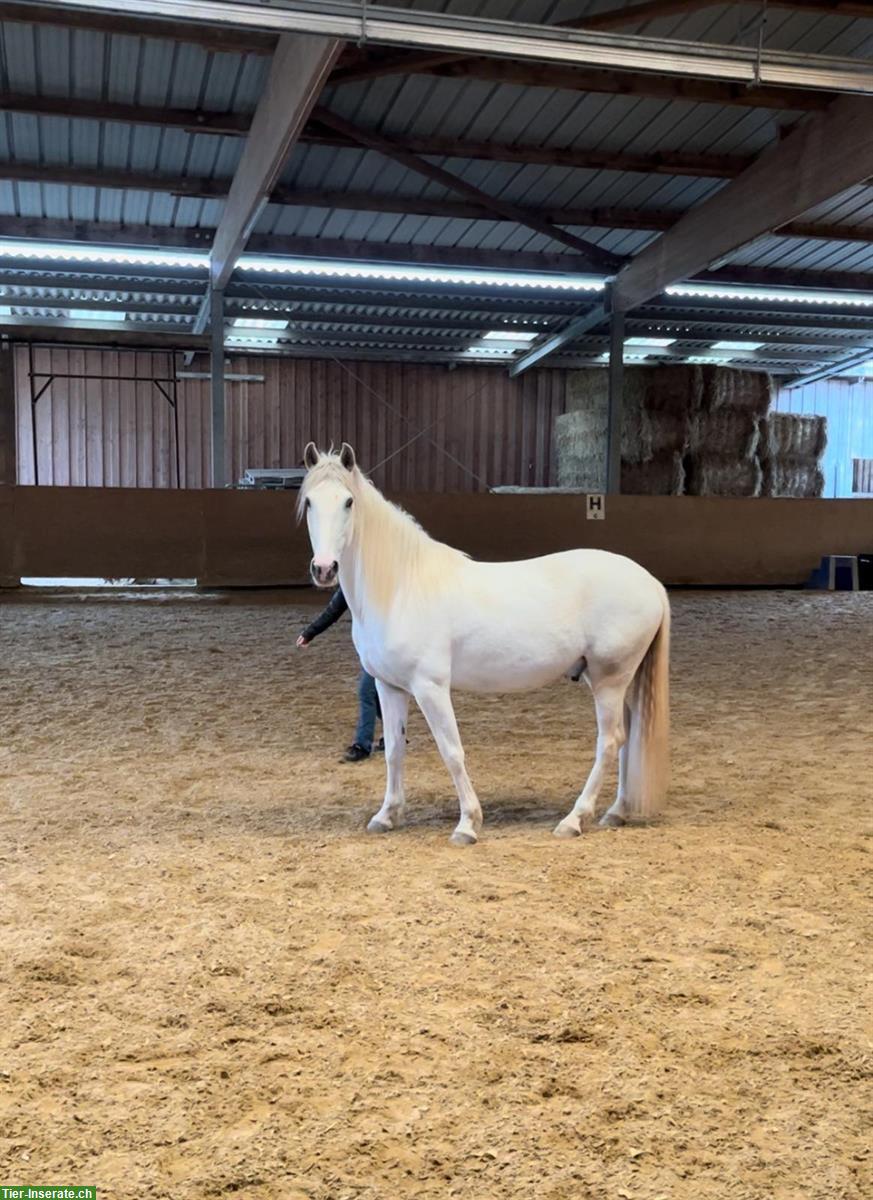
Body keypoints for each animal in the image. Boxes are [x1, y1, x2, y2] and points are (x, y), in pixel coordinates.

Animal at [298, 446, 666, 849]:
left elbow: (451, 752)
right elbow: (394, 750)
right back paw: (616, 812)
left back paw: (574, 819)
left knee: (610, 742)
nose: (325, 569)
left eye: (348, 501)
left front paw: (468, 824)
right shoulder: (389, 687)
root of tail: (651, 582)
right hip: (623, 682)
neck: (401, 586)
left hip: (608, 681)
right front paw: (386, 815)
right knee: (627, 740)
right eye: (310, 501)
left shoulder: (430, 687)